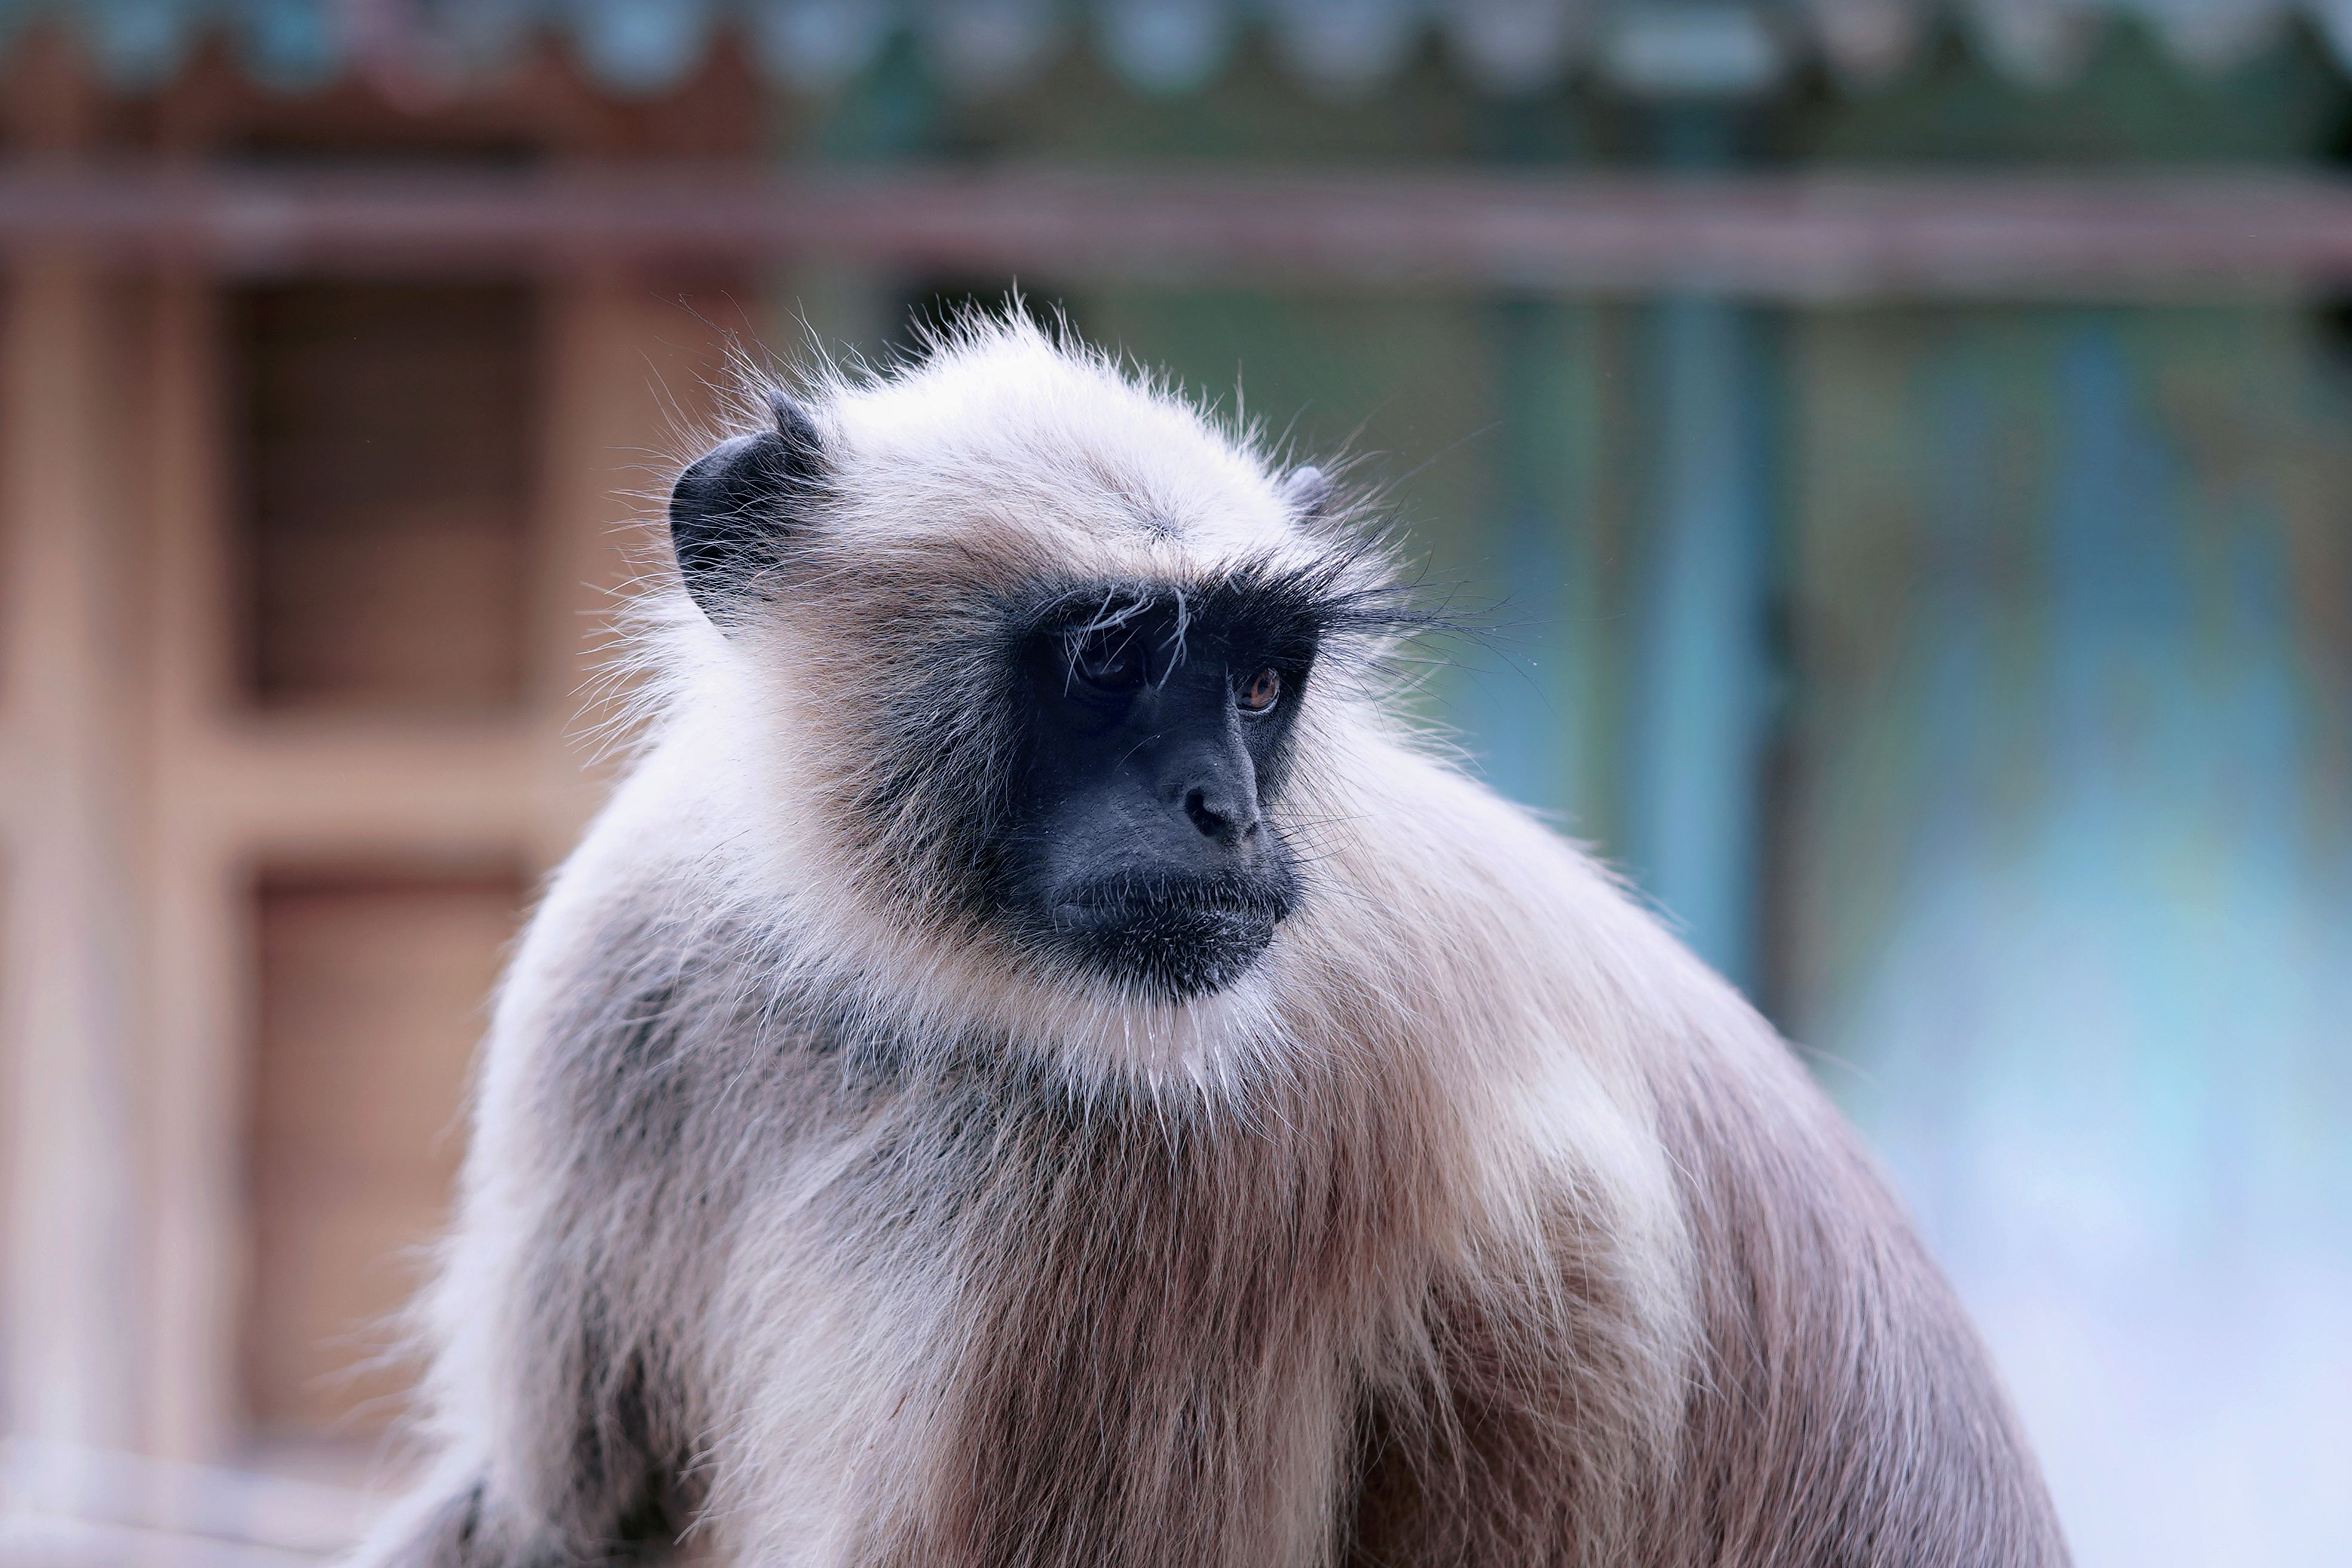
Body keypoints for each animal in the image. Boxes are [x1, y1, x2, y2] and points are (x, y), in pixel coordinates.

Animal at [353, 313, 2067, 1568]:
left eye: (1255, 685)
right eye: (1111, 661)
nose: (1225, 814)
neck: (925, 997)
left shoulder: (1193, 1179)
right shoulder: (630, 956)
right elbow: (562, 1520)